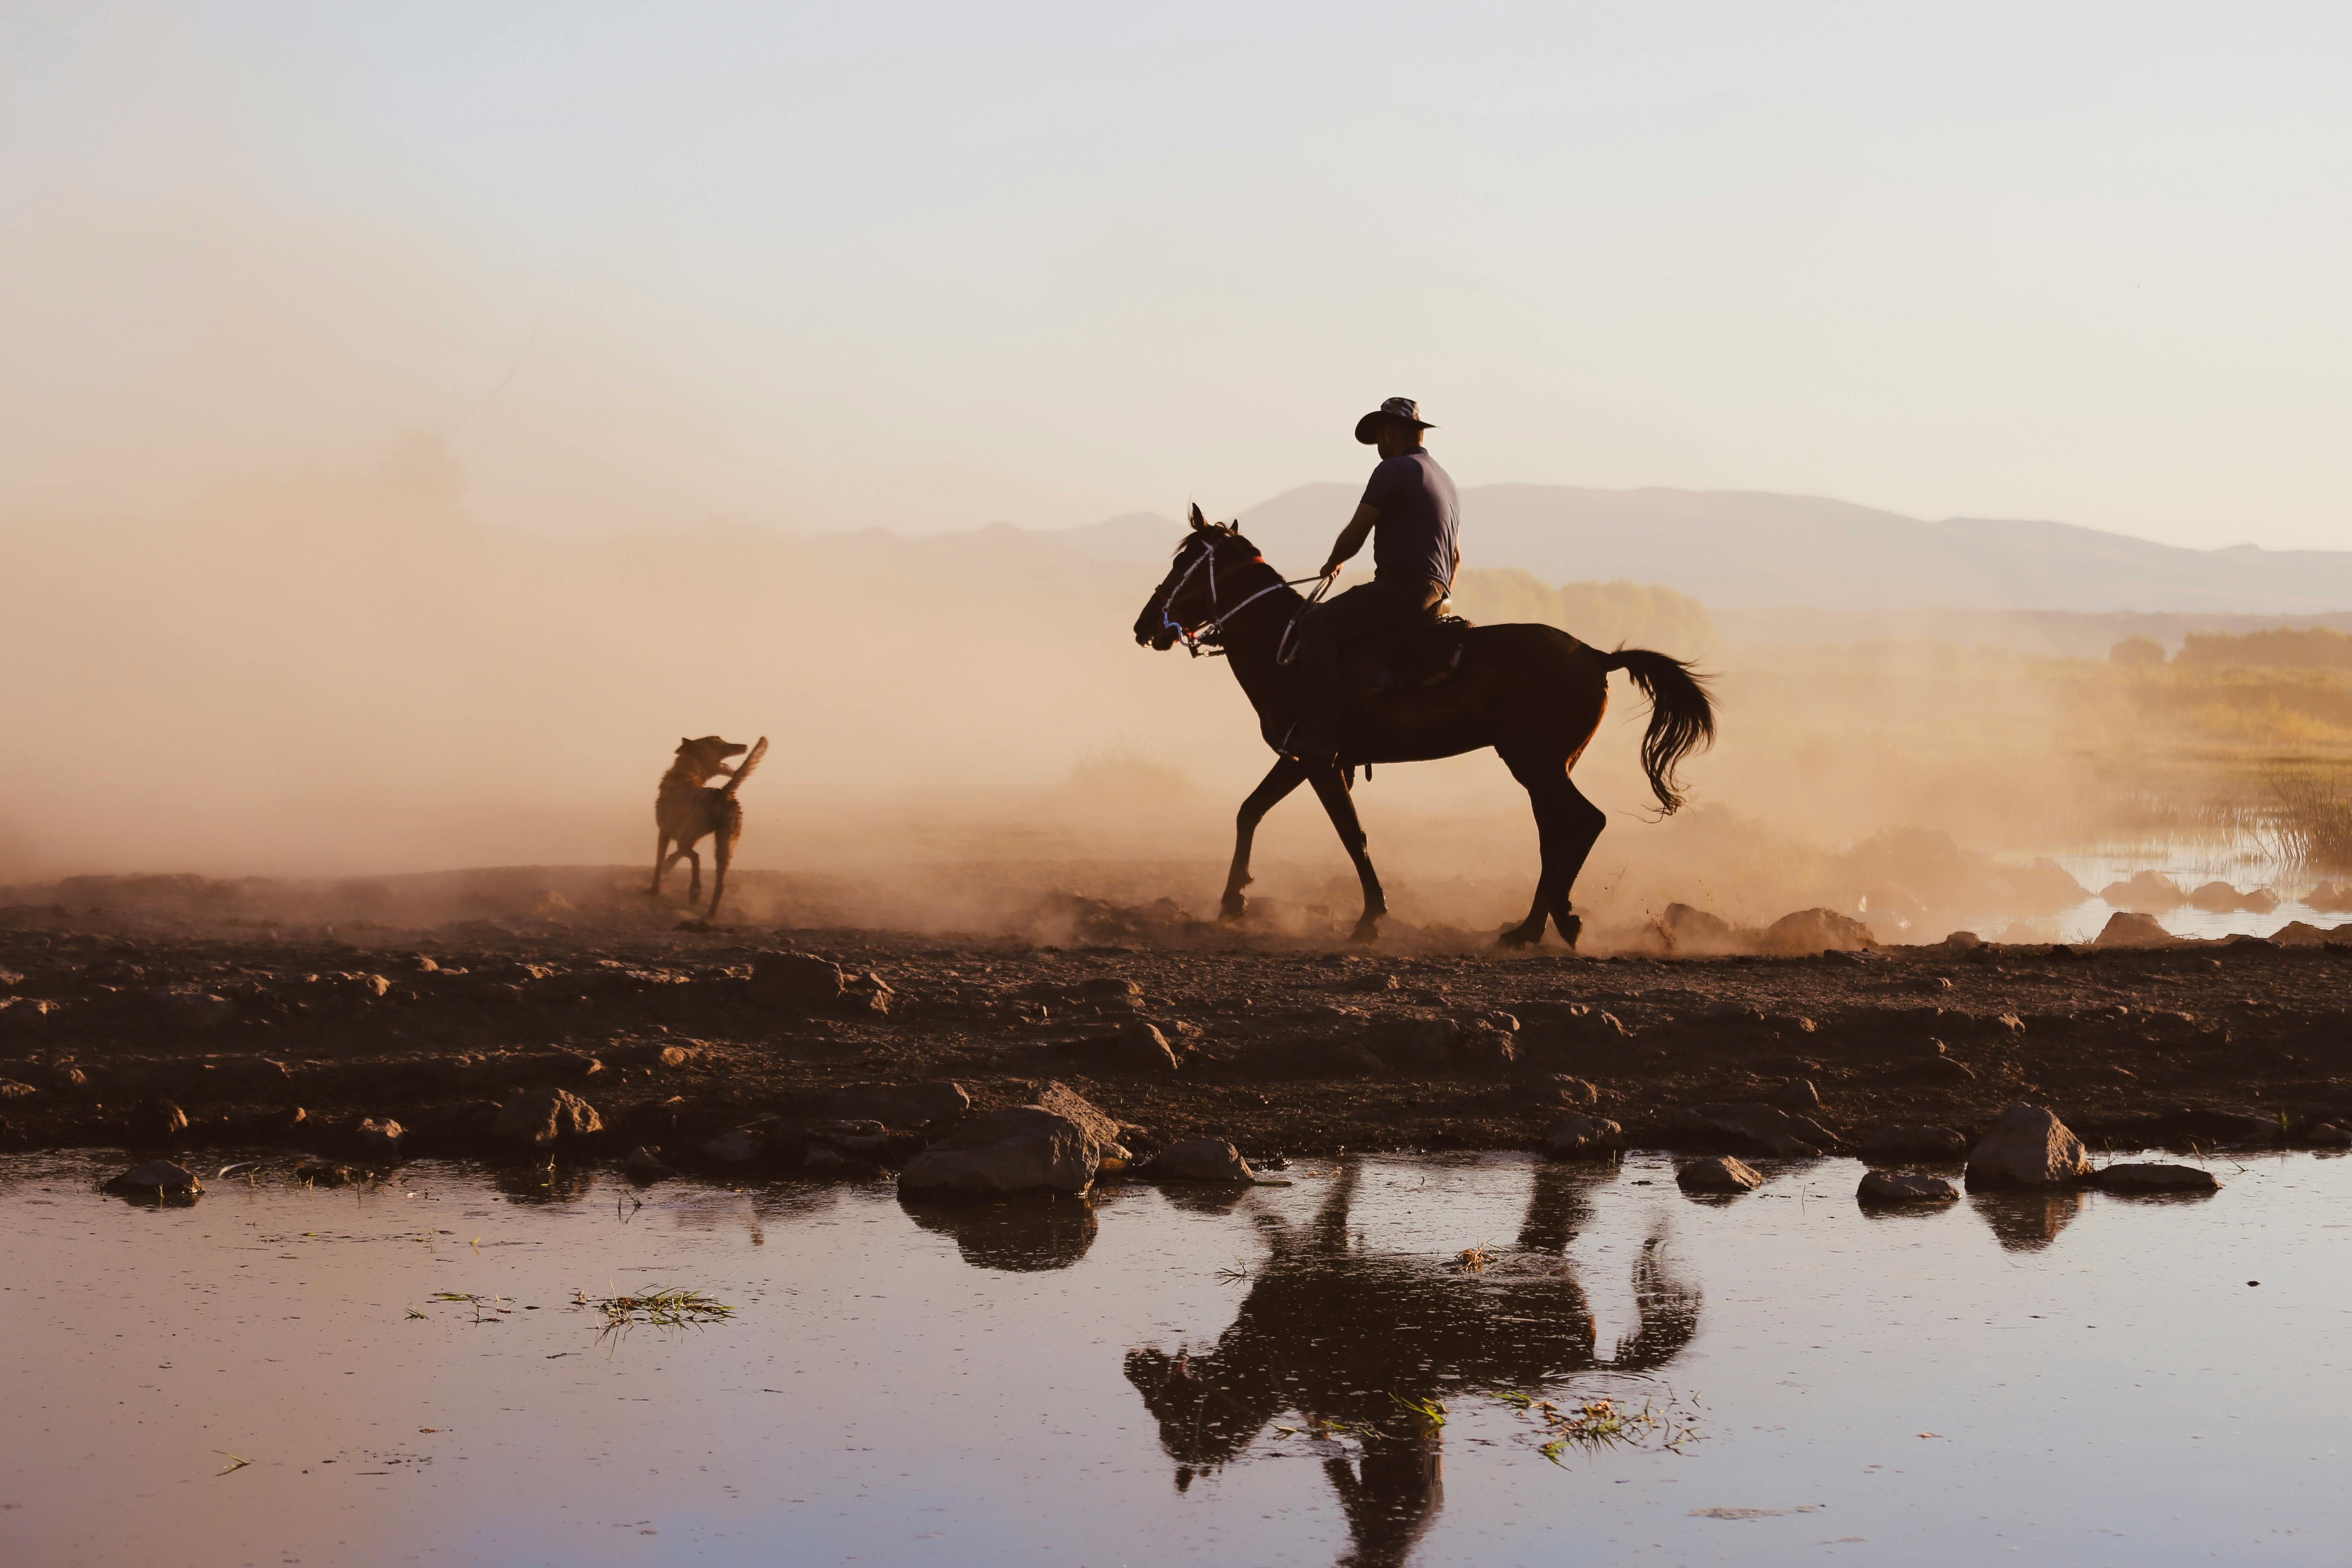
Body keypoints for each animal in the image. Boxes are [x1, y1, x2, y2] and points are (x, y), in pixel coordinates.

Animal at [649, 738, 766, 921]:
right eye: (719, 743)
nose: (744, 746)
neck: (687, 774)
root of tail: (724, 794)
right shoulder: (690, 837)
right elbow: (675, 857)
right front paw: (669, 865)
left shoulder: (665, 831)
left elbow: (659, 863)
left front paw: (654, 889)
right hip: (725, 845)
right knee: (720, 884)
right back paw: (710, 915)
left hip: (694, 837)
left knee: (695, 857)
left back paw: (695, 892)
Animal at [1129, 510, 1721, 949]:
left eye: (1186, 562)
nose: (1145, 625)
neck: (1286, 647)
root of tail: (1596, 656)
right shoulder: (1301, 758)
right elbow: (1250, 810)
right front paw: (1234, 900)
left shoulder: (1318, 759)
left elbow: (1352, 834)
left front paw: (1371, 918)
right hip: (1546, 767)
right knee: (1557, 832)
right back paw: (1540, 924)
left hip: (1535, 762)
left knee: (1581, 823)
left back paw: (1544, 925)